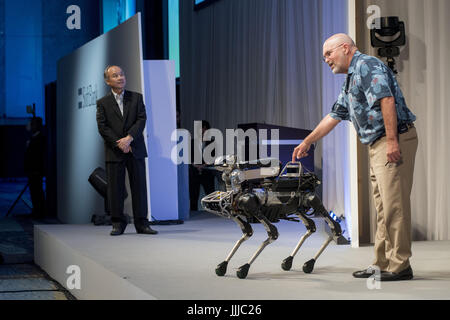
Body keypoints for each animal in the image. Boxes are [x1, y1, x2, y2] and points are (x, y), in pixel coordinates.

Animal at [200, 156, 342, 278]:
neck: (237, 195)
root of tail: (311, 180)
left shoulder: (251, 205)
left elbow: (272, 233)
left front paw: (244, 268)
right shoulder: (236, 214)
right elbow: (246, 233)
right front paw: (222, 265)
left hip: (312, 200)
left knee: (334, 226)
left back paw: (310, 262)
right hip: (297, 209)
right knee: (311, 226)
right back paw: (289, 260)